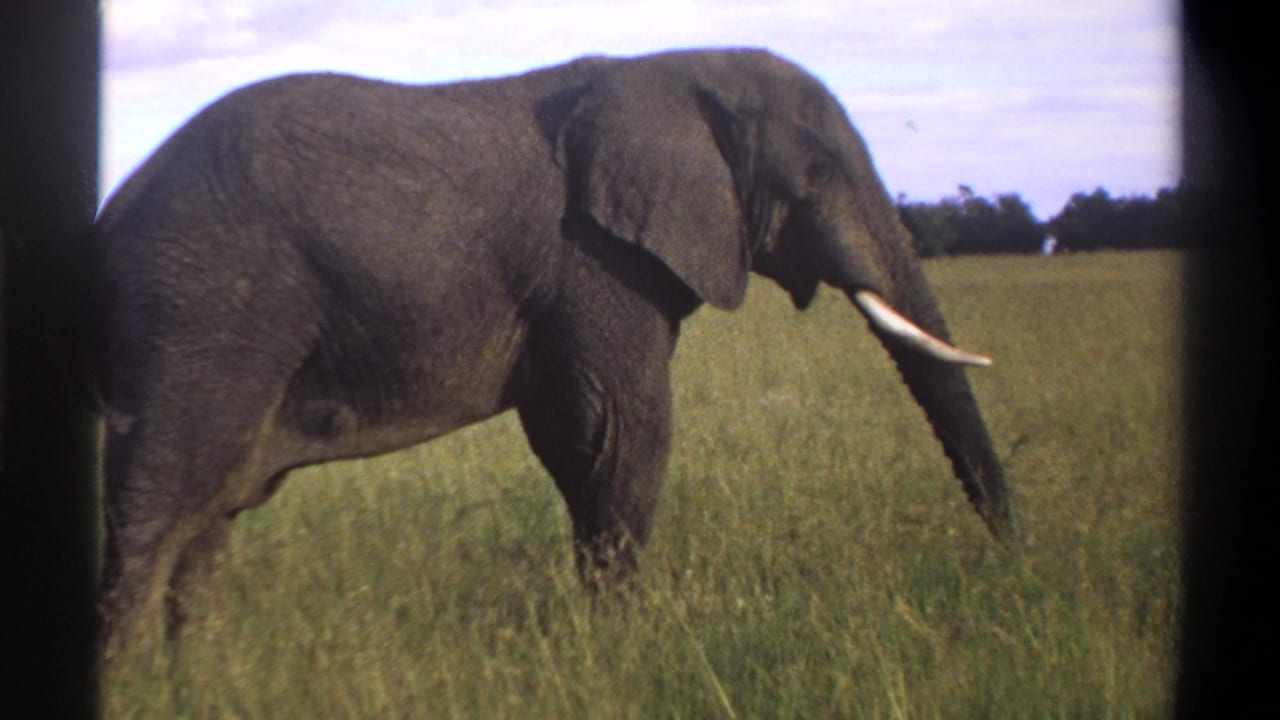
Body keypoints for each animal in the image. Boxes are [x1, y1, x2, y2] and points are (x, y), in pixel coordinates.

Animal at [92, 48, 1016, 656]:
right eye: (818, 172)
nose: (1011, 560)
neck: (676, 68)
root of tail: (114, 208)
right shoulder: (594, 259)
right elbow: (618, 431)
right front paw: (622, 649)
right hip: (203, 308)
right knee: (160, 504)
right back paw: (139, 684)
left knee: (209, 515)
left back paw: (206, 677)